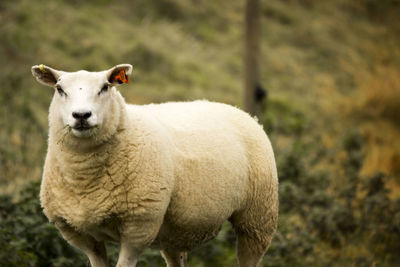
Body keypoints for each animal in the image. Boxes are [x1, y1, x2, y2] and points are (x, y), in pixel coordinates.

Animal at [30, 64, 278, 267]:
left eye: (105, 87)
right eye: (60, 89)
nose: (81, 115)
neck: (85, 179)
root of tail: (237, 110)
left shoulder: (139, 227)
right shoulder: (81, 235)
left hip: (258, 217)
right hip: (176, 230)